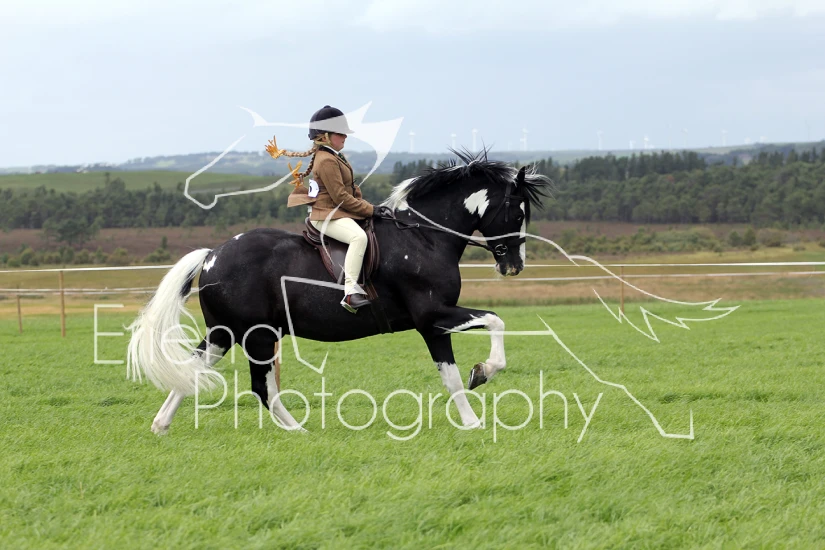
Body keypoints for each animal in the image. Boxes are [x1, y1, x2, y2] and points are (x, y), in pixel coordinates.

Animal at [127, 150, 552, 434]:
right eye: (517, 211)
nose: (513, 267)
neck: (424, 237)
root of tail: (213, 255)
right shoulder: (433, 315)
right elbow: (493, 324)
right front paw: (482, 379)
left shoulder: (433, 323)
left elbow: (450, 373)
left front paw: (471, 417)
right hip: (256, 335)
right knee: (260, 387)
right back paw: (300, 432)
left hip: (227, 333)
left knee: (195, 369)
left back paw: (161, 425)